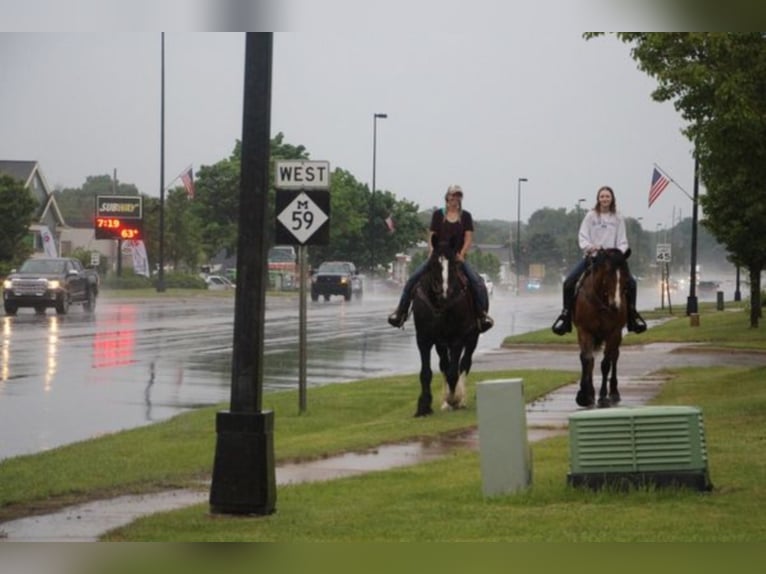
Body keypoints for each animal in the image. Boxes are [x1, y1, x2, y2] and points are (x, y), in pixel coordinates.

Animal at [572, 249, 632, 410]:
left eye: (625, 276)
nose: (616, 305)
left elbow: (606, 363)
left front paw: (603, 396)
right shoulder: (584, 330)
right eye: (608, 274)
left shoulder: (613, 332)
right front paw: (585, 395)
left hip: (617, 336)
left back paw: (614, 393)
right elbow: (587, 360)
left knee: (614, 357)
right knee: (592, 359)